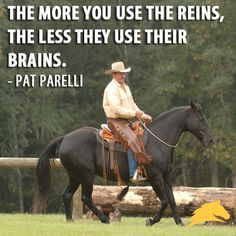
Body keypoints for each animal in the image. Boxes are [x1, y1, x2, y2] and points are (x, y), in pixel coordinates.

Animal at [33, 102, 214, 226]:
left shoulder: (165, 178)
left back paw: (70, 220)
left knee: (67, 195)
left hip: (74, 176)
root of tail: (65, 138)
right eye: (201, 119)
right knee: (86, 197)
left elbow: (172, 200)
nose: (210, 140)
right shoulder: (155, 178)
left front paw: (179, 223)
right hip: (86, 176)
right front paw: (151, 221)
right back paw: (104, 219)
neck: (157, 142)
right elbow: (164, 201)